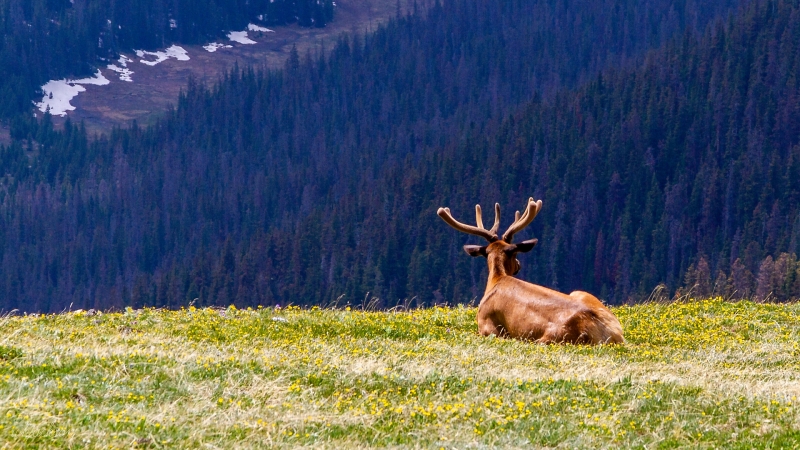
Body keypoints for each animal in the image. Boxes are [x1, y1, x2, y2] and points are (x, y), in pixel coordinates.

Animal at [438, 198, 624, 344]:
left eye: (515, 253)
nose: (518, 265)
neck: (496, 279)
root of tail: (611, 335)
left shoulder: (488, 326)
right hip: (582, 294)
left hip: (549, 338)